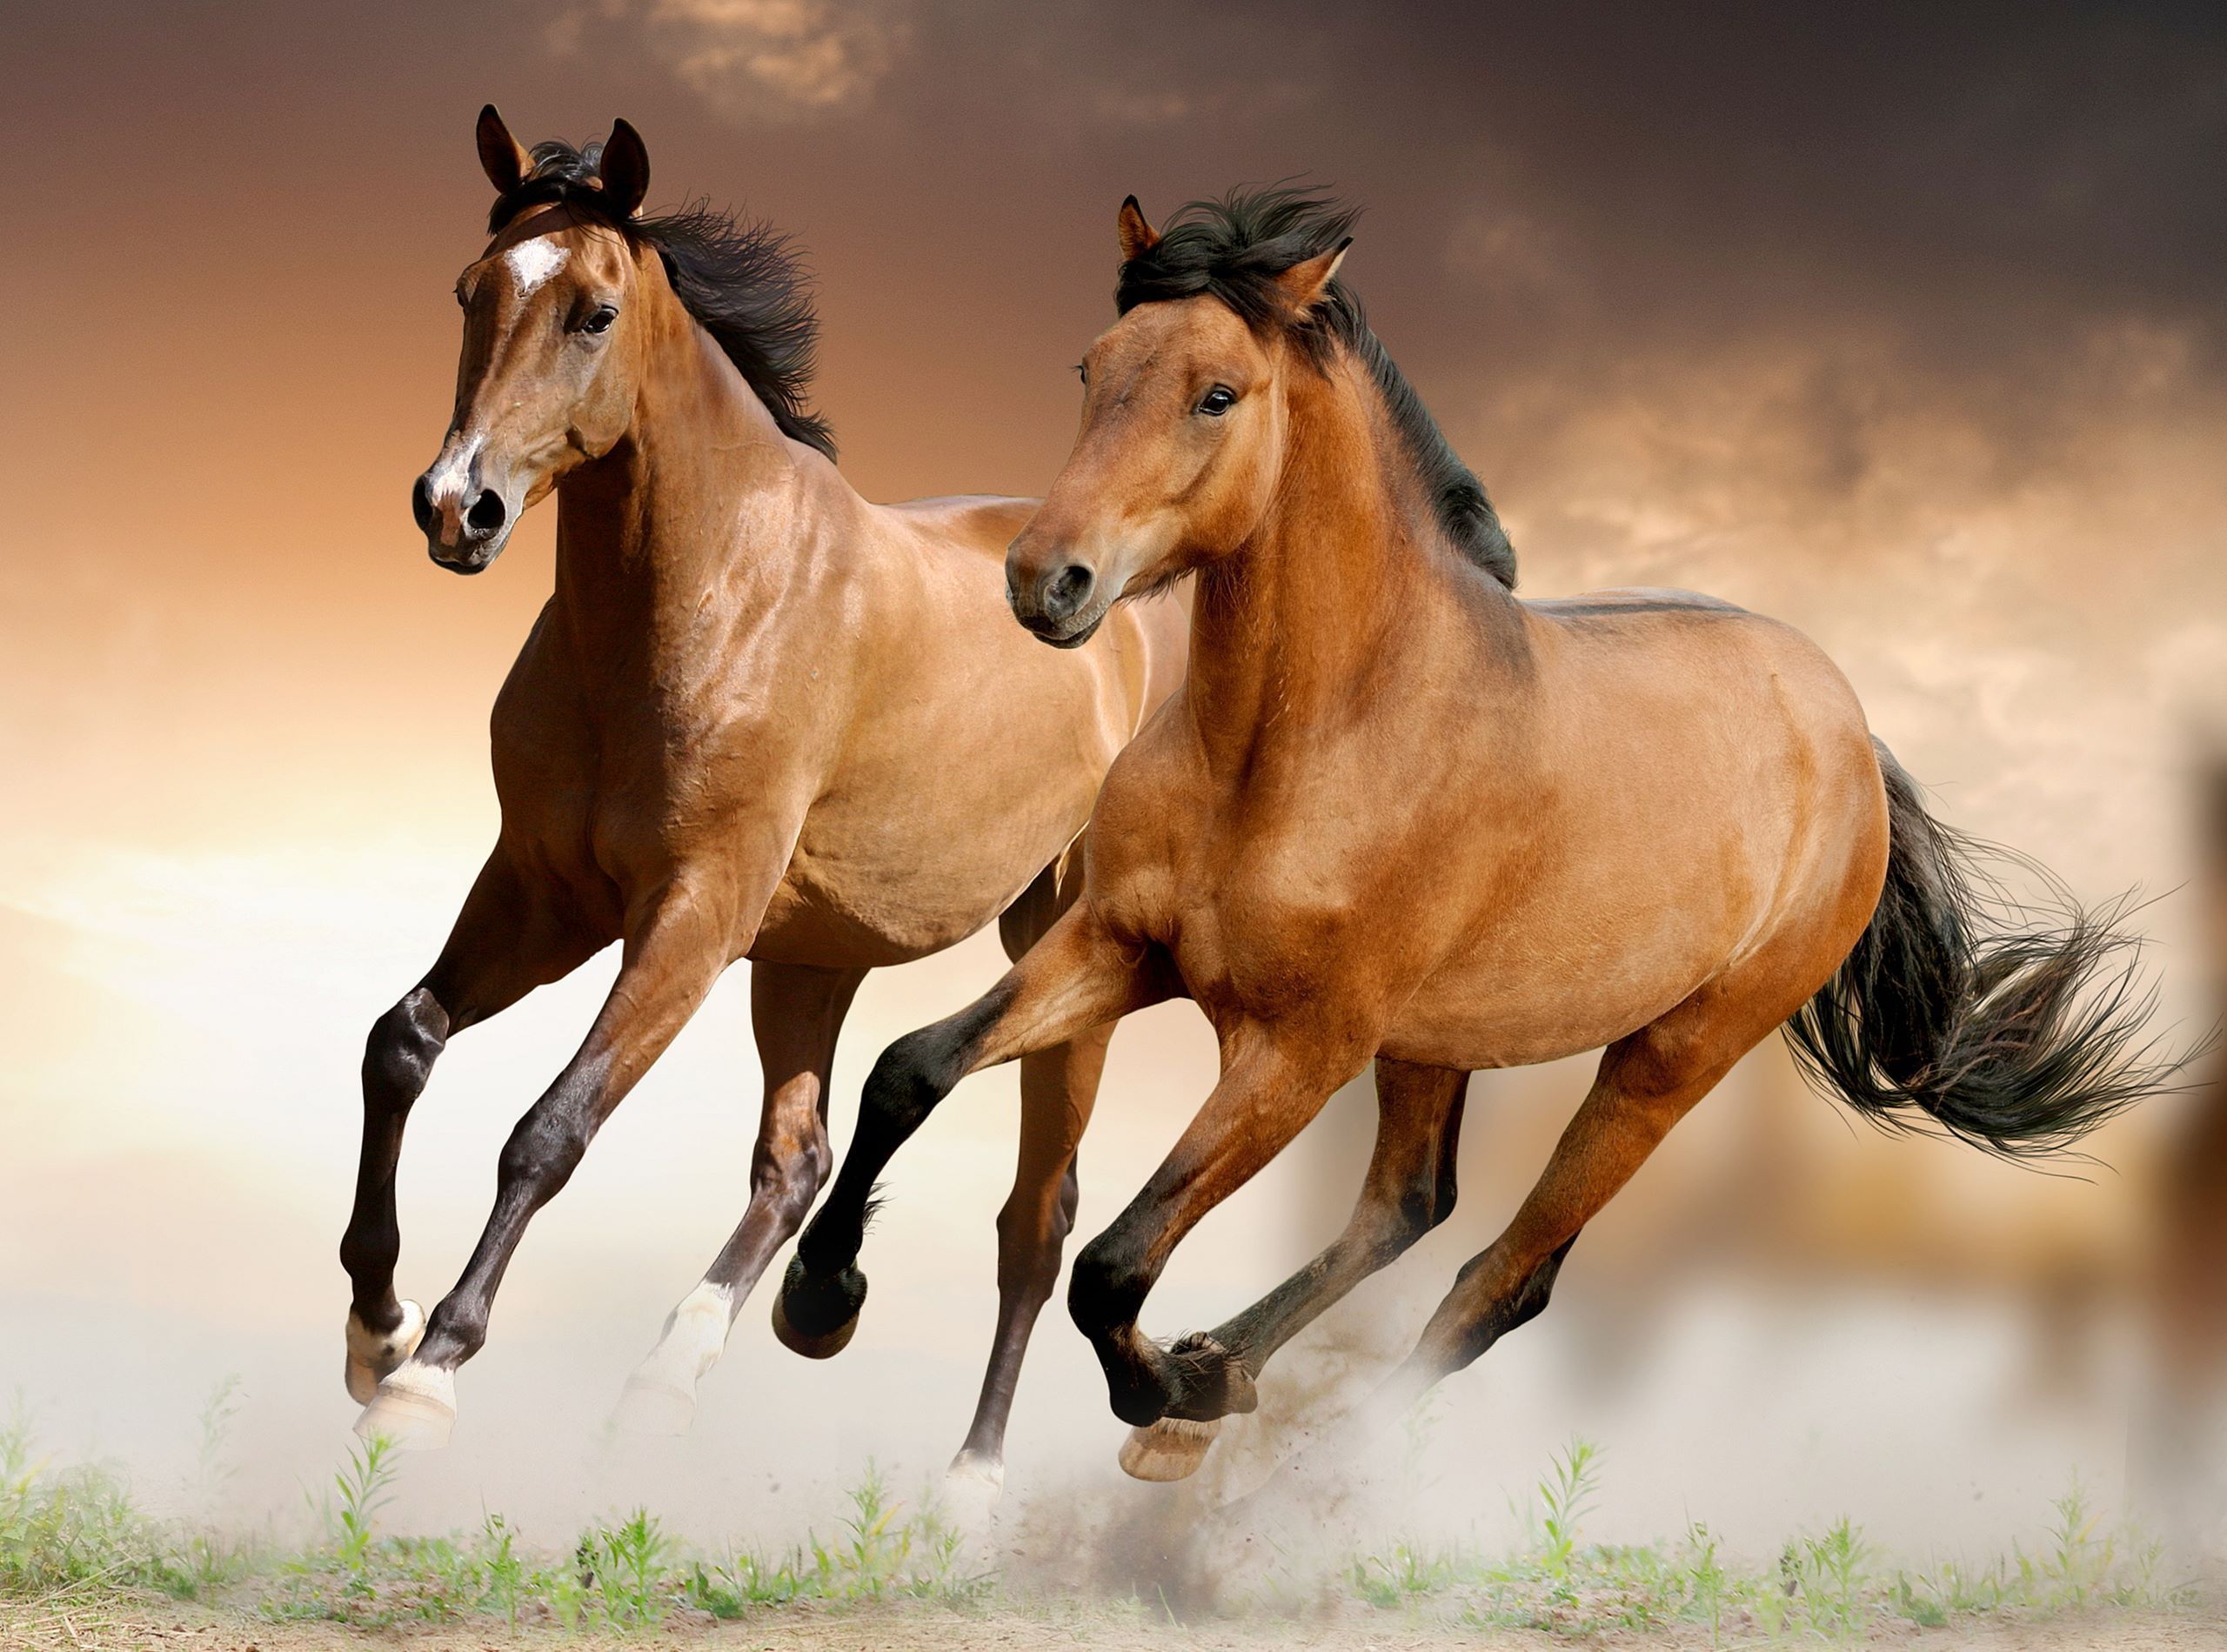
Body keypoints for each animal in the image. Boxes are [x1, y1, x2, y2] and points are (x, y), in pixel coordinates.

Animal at [339, 109, 1184, 1504]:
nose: (457, 507)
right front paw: (374, 1328)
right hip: (810, 956)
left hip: (1061, 952)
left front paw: (428, 1379)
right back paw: (686, 1371)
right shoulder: (543, 893)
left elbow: (550, 1128)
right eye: (471, 292)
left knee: (1035, 1220)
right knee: (798, 1163)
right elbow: (400, 1041)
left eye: (593, 312)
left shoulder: (690, 913)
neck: (702, 598)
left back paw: (968, 1482)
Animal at [774, 185, 2178, 1486]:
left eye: (1218, 393)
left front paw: (1161, 1384)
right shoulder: (1120, 945)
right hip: (1435, 1041)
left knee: (1501, 1278)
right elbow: (908, 1069)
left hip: (1666, 1058)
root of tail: (1851, 736)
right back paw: (1220, 1382)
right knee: (1409, 1204)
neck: (1301, 740)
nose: (1044, 582)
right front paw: (819, 1302)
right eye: (1092, 368)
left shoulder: (1298, 1049)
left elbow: (1115, 1264)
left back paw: (1270, 1452)